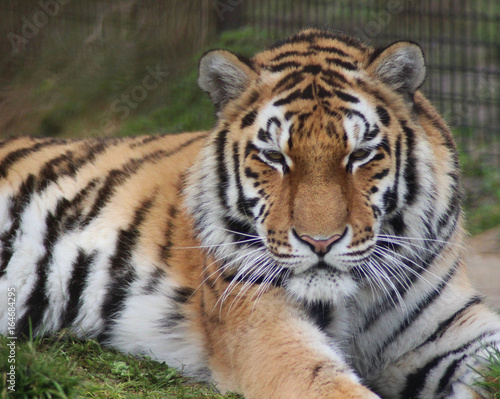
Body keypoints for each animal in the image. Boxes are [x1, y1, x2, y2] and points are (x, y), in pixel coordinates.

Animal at [0, 28, 500, 399]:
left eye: (359, 155)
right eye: (275, 158)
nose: (320, 242)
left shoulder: (452, 328)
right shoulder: (263, 324)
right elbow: (329, 383)